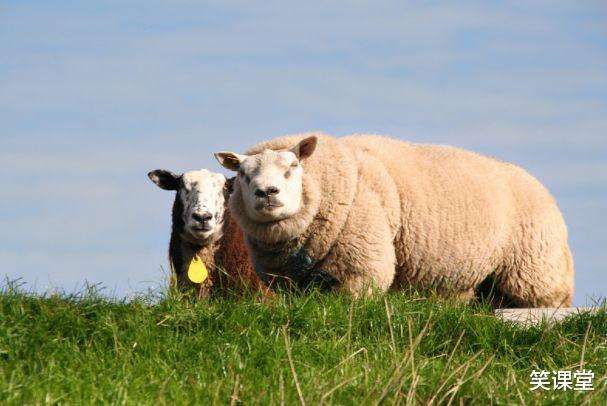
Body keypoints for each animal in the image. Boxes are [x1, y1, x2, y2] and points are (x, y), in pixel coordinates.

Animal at [215, 133, 576, 308]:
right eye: (243, 174)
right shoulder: (289, 283)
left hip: (535, 272)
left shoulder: (362, 268)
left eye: (292, 166)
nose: (267, 192)